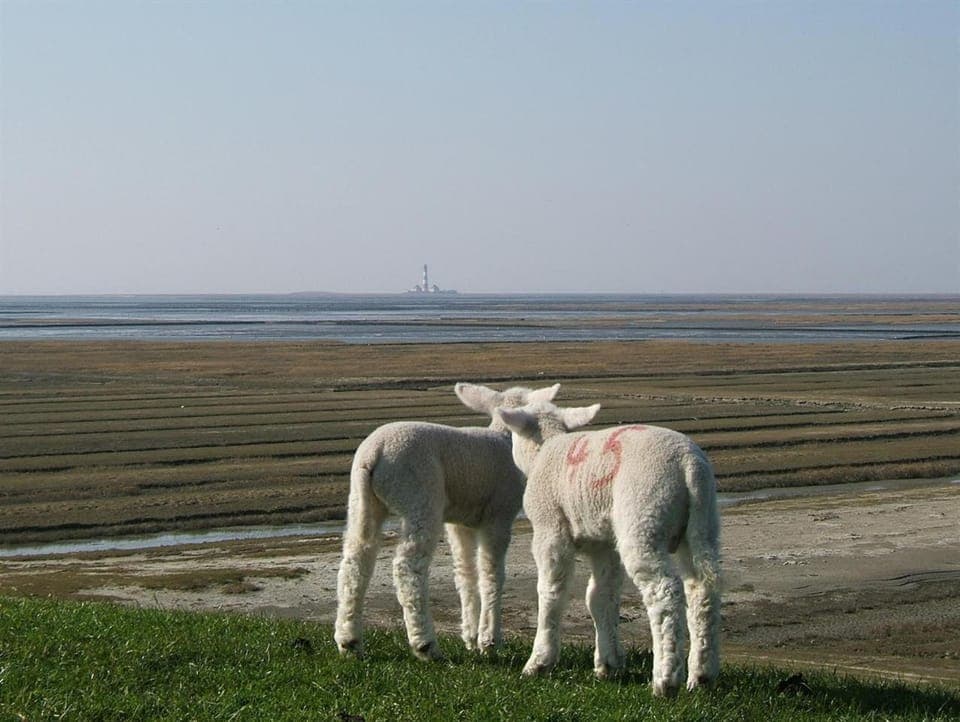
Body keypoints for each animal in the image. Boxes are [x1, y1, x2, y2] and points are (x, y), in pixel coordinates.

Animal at [334, 381, 561, 661]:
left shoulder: (459, 521)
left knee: (355, 562)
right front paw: (490, 640)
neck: (504, 438)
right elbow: (492, 573)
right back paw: (425, 645)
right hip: (420, 496)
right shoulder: (498, 516)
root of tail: (374, 453)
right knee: (408, 567)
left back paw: (349, 642)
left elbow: (465, 573)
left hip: (361, 501)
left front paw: (471, 637)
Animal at [496, 401, 721, 697]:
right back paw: (702, 676)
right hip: (703, 523)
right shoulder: (602, 544)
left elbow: (551, 591)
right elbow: (601, 597)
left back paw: (665, 680)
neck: (544, 450)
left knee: (665, 592)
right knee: (704, 588)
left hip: (643, 514)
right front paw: (608, 663)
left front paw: (539, 662)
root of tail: (689, 464)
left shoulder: (550, 529)